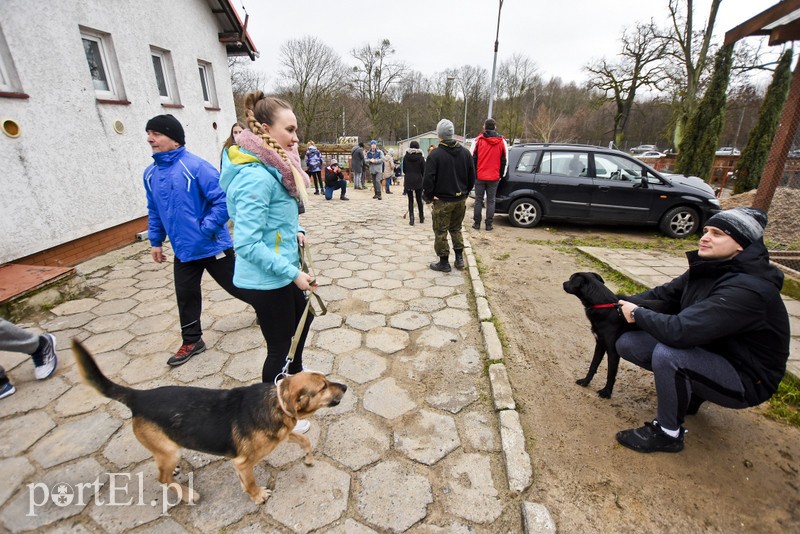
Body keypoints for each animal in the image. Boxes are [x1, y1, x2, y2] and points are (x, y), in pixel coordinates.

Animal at [74, 344, 346, 506]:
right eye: (323, 386)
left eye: (326, 380)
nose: (344, 386)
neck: (277, 402)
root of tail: (137, 397)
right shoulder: (243, 461)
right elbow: (250, 481)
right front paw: (257, 495)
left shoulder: (281, 436)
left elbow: (305, 440)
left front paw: (308, 458)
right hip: (169, 451)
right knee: (161, 478)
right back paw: (187, 494)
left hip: (168, 448)